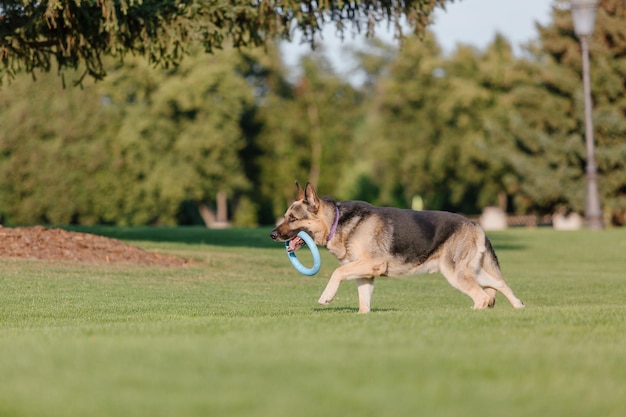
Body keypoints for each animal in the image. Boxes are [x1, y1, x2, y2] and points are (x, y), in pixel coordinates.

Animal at [268, 180, 520, 314]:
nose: (272, 234)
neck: (337, 222)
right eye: (285, 217)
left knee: (483, 296)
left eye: (292, 219)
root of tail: (476, 225)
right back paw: (519, 305)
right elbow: (363, 301)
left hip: (456, 273)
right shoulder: (365, 275)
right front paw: (362, 316)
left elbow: (337, 272)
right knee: (499, 284)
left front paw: (326, 297)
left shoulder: (372, 264)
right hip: (470, 271)